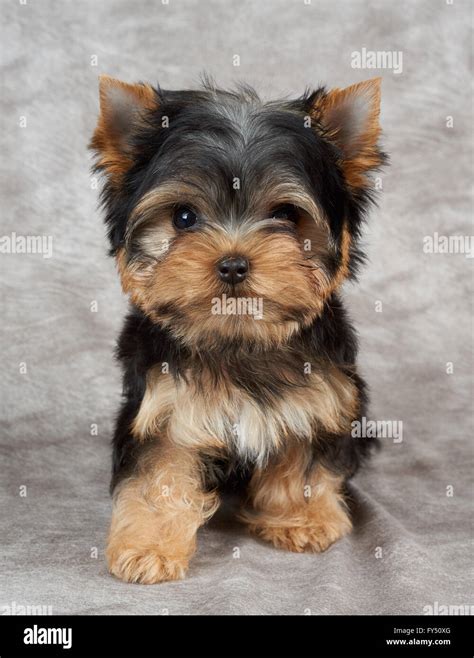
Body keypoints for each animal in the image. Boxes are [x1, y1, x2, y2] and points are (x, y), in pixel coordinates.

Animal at [90, 74, 386, 580]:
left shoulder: (319, 395)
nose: (232, 263)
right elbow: (158, 471)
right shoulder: (163, 405)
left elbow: (302, 457)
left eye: (286, 215)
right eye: (183, 217)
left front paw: (300, 518)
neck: (238, 338)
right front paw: (149, 547)